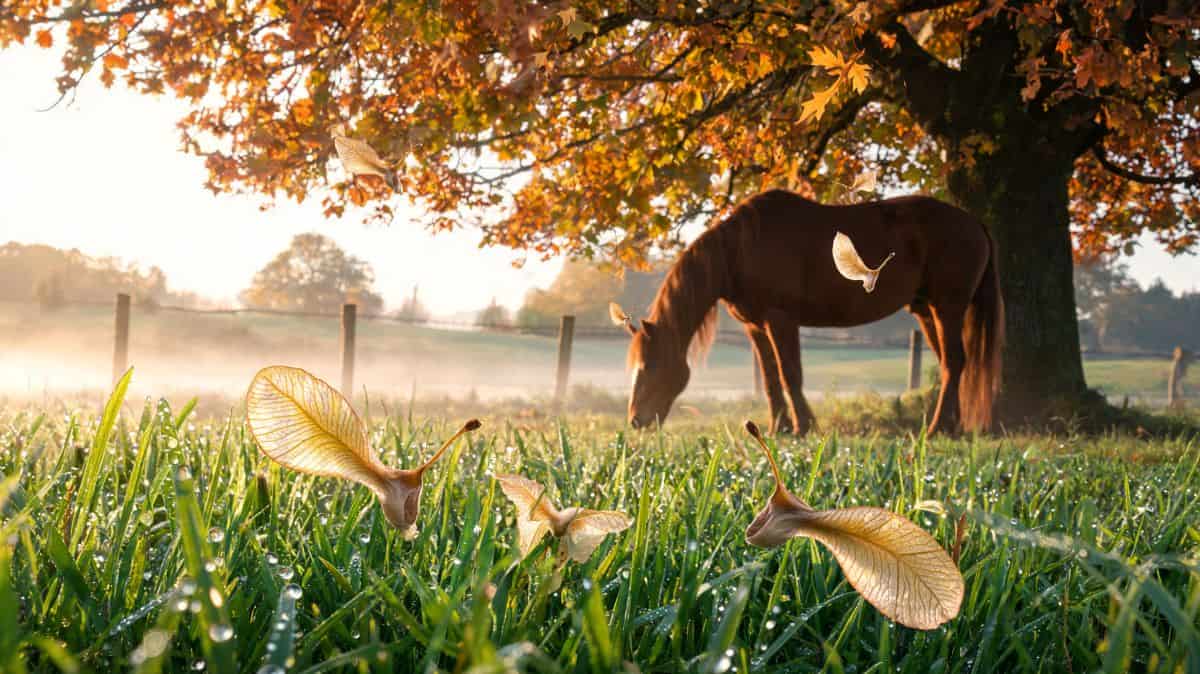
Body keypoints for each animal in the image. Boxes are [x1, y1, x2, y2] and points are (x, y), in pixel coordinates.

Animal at [610, 189, 1004, 435]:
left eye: (649, 366)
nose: (635, 421)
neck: (741, 249)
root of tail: (975, 223)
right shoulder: (756, 327)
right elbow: (771, 379)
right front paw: (779, 427)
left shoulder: (781, 320)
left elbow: (790, 374)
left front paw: (803, 426)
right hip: (926, 310)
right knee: (953, 364)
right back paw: (952, 426)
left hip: (947, 307)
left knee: (954, 362)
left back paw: (939, 428)